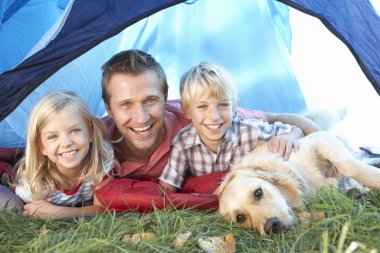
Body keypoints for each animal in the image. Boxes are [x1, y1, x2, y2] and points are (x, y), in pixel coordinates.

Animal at [215, 131, 380, 236]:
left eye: (258, 192)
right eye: (240, 218)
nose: (271, 226)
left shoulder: (320, 139)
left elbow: (348, 166)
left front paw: (376, 179)